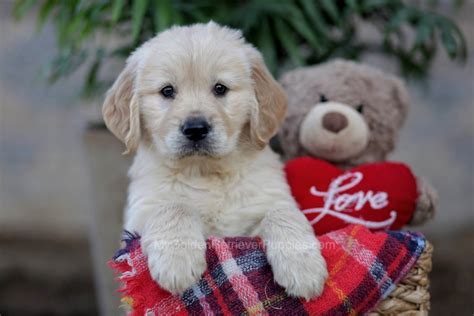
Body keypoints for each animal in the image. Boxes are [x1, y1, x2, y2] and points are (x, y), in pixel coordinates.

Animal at [102, 21, 328, 298]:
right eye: (167, 91)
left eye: (220, 88)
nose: (195, 129)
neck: (206, 172)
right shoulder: (139, 215)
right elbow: (173, 207)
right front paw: (177, 261)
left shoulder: (264, 204)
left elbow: (282, 213)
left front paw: (304, 268)